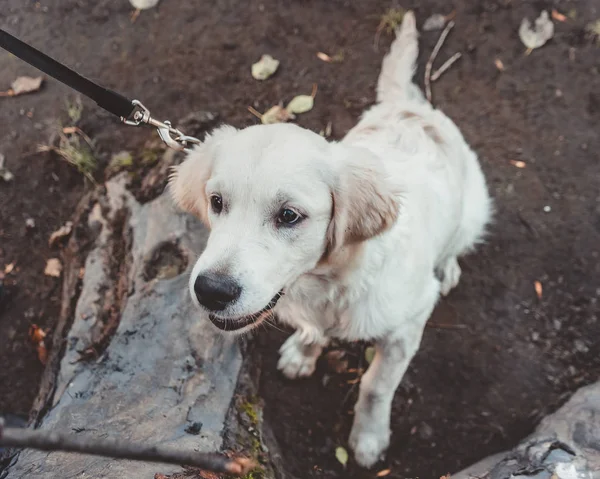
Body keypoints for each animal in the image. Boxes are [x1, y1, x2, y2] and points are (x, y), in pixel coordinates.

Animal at [169, 13, 492, 470]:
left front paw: (369, 438)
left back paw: (447, 267)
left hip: (474, 208)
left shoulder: (408, 324)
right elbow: (310, 330)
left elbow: (376, 386)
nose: (211, 291)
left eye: (289, 215)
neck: (329, 283)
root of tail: (413, 108)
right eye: (216, 202)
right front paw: (303, 353)